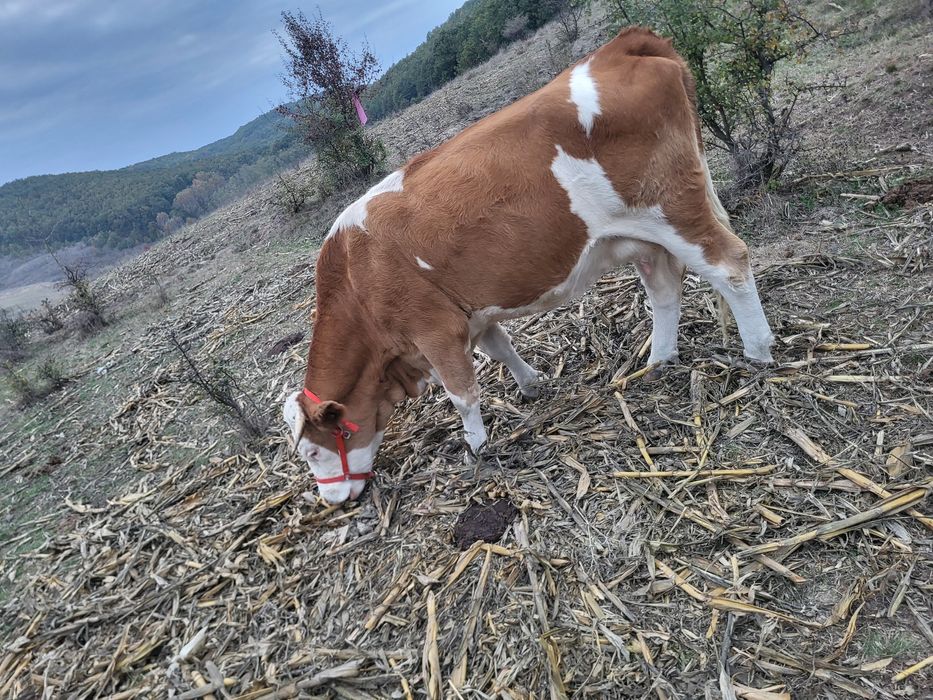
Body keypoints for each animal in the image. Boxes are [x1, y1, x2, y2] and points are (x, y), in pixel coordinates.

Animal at [283, 27, 774, 504]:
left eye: (312, 451)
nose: (331, 501)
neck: (355, 274)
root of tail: (619, 47)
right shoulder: (472, 315)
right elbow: (501, 348)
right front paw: (532, 384)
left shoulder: (434, 329)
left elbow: (462, 394)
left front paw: (476, 447)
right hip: (643, 236)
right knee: (665, 291)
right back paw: (657, 360)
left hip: (673, 210)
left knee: (730, 265)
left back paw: (757, 350)